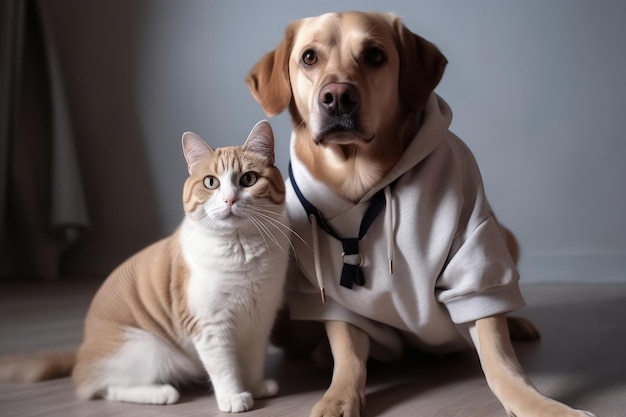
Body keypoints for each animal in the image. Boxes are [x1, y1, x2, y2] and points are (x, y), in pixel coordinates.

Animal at [0, 118, 292, 412]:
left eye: (248, 179)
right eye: (211, 182)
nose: (229, 200)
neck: (242, 252)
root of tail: (80, 352)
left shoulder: (260, 317)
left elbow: (253, 359)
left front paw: (255, 385)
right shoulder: (209, 325)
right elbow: (224, 367)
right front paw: (233, 397)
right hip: (149, 348)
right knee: (104, 387)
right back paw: (161, 393)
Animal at [246, 9, 592, 416]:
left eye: (375, 55)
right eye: (309, 57)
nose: (338, 97)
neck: (361, 181)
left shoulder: (474, 252)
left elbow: (499, 356)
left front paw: (538, 404)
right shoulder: (330, 293)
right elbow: (348, 352)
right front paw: (339, 396)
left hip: (505, 238)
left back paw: (518, 324)